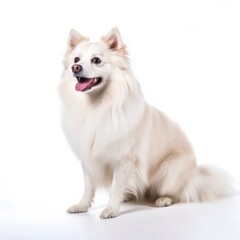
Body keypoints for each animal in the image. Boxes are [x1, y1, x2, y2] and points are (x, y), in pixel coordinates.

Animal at [59, 27, 235, 218]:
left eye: (96, 60)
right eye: (76, 59)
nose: (75, 68)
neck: (96, 106)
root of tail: (195, 176)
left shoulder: (123, 161)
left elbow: (115, 187)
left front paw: (111, 209)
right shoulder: (87, 158)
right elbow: (89, 187)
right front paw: (82, 206)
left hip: (169, 171)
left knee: (179, 193)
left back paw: (163, 199)